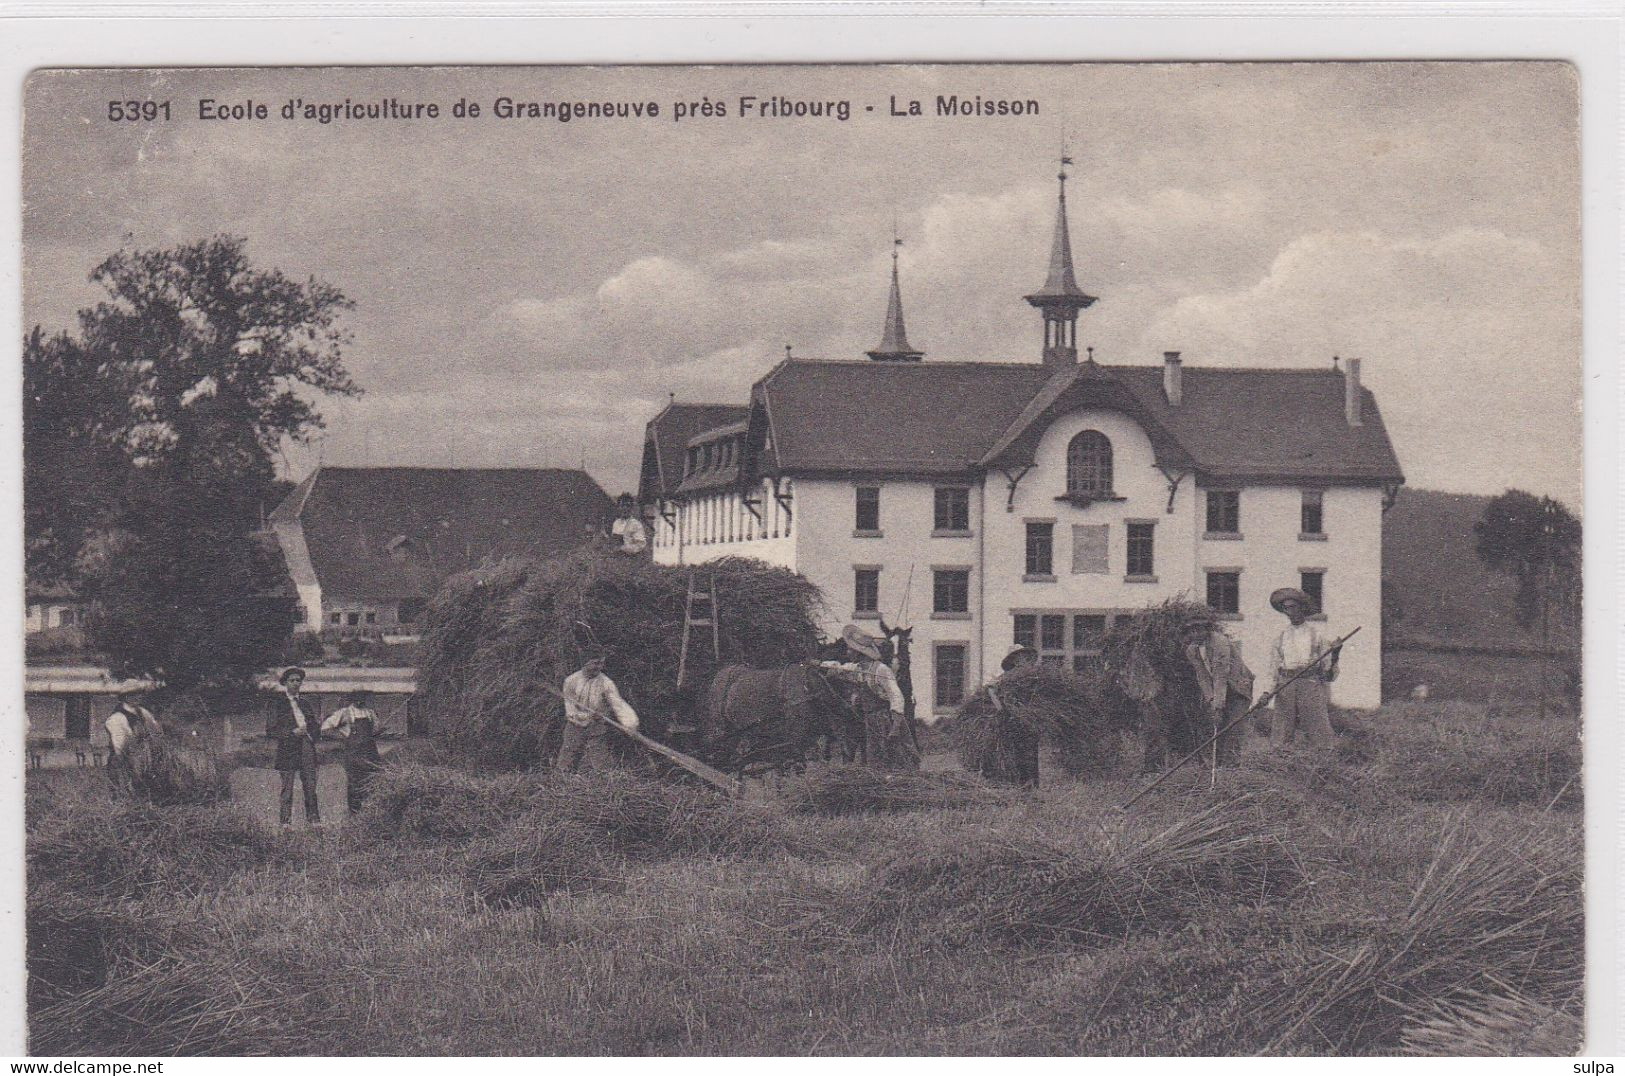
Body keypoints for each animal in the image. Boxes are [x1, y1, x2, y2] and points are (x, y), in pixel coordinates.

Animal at [698, 663, 864, 780]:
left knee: (736, 761)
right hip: (720, 729)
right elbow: (799, 766)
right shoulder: (797, 739)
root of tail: (718, 677)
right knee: (718, 757)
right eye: (849, 730)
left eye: (859, 733)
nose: (851, 762)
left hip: (738, 735)